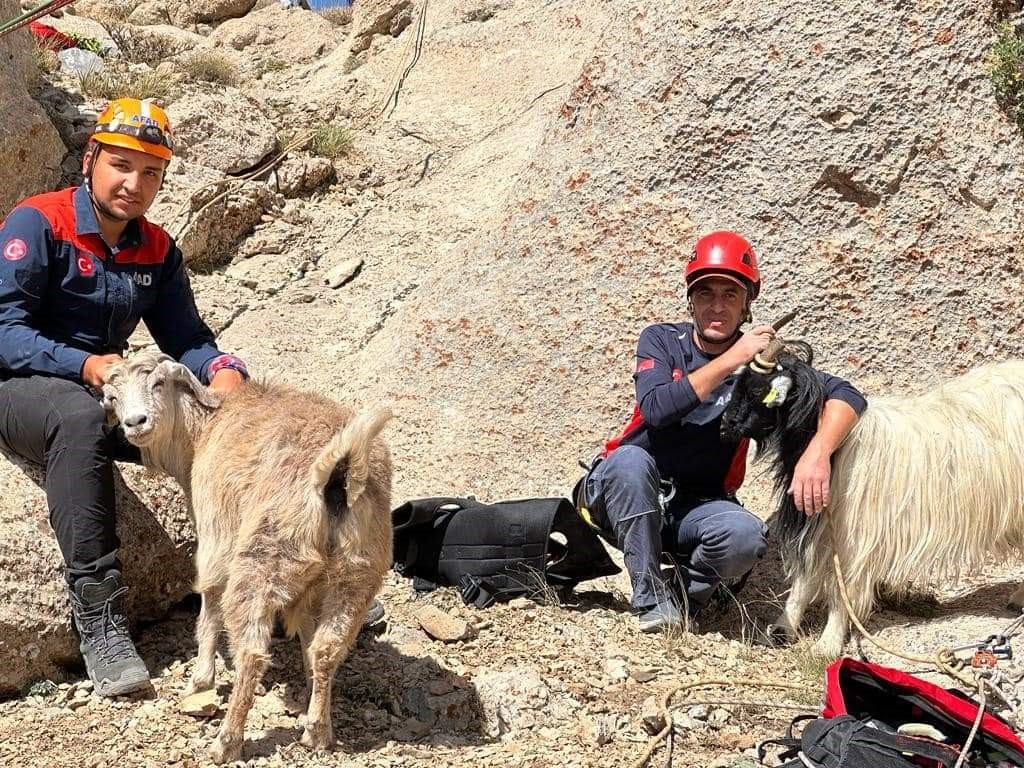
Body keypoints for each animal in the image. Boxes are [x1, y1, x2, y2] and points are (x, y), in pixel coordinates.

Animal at [102, 354, 391, 765]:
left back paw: (226, 741)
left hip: (261, 562)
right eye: (113, 397)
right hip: (355, 573)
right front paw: (307, 694)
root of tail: (339, 470)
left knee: (252, 652)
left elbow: (209, 606)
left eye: (158, 383)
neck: (204, 428)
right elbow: (308, 634)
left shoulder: (216, 537)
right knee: (328, 647)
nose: (135, 422)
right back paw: (318, 732)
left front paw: (200, 680)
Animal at [720, 348, 1024, 655]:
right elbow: (803, 582)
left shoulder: (853, 537)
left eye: (756, 390)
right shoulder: (819, 525)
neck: (829, 447)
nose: (724, 425)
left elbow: (843, 590)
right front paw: (780, 630)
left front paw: (827, 644)